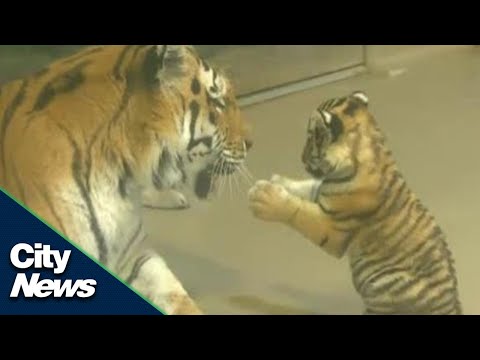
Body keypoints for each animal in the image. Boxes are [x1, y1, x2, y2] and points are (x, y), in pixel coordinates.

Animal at [248, 90, 462, 316]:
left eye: (311, 138)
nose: (301, 158)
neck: (370, 147)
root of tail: (453, 308)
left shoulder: (332, 227)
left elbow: (299, 211)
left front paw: (263, 197)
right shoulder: (324, 191)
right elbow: (308, 186)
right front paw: (278, 181)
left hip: (384, 284)